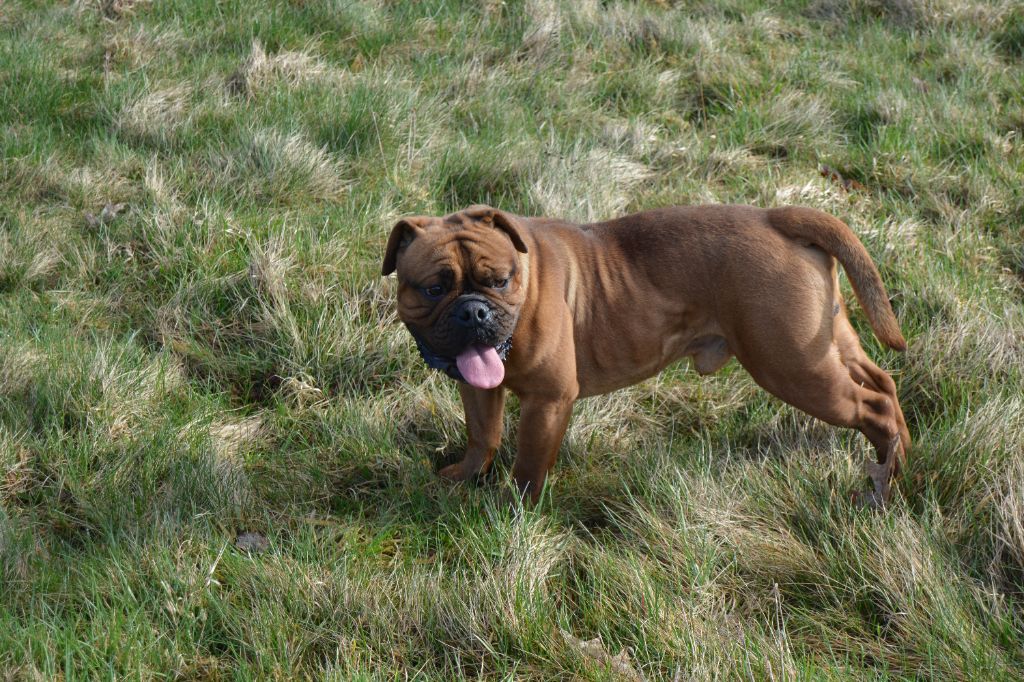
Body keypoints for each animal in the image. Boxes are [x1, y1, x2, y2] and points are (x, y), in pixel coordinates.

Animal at [380, 201, 909, 503]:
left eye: (499, 281)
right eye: (433, 289)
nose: (473, 313)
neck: (531, 281)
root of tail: (778, 218)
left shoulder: (549, 400)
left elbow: (529, 463)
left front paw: (512, 507)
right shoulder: (479, 389)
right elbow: (482, 435)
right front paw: (466, 477)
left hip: (792, 367)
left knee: (871, 404)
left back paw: (882, 483)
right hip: (828, 345)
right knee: (883, 383)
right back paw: (896, 458)